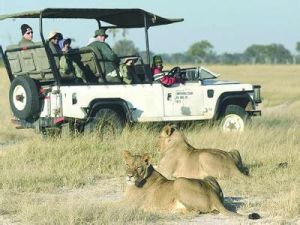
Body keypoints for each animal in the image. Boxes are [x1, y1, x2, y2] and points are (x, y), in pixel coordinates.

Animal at [122, 150, 260, 219]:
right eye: (127, 165)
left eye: (138, 167)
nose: (129, 175)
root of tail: (212, 194)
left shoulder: (129, 204)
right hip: (208, 178)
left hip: (179, 182)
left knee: (196, 211)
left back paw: (172, 212)